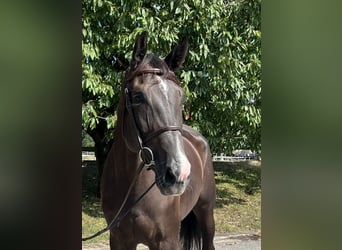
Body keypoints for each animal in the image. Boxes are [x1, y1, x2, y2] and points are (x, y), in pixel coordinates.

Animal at [100, 32, 215, 249]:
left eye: (181, 96)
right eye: (138, 97)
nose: (179, 173)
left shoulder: (167, 241)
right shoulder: (119, 240)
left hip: (206, 212)